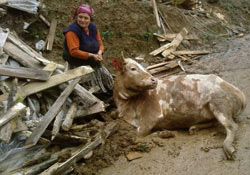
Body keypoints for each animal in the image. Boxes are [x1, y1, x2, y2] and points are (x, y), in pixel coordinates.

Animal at [113, 56, 246, 160]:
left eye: (144, 68)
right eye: (133, 68)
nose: (153, 80)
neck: (128, 107)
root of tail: (241, 95)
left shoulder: (153, 114)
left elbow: (137, 136)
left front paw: (166, 133)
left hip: (219, 103)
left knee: (232, 126)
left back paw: (228, 149)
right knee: (215, 122)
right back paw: (193, 128)